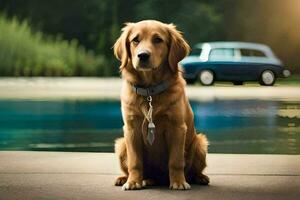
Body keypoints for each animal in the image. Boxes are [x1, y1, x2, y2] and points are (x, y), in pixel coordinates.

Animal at [112, 20, 209, 191]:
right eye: (135, 40)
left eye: (158, 40)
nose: (143, 55)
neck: (150, 90)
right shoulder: (131, 129)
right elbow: (135, 161)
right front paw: (133, 182)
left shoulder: (177, 128)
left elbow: (176, 161)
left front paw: (178, 182)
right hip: (121, 144)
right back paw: (127, 178)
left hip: (200, 143)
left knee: (193, 171)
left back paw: (201, 177)